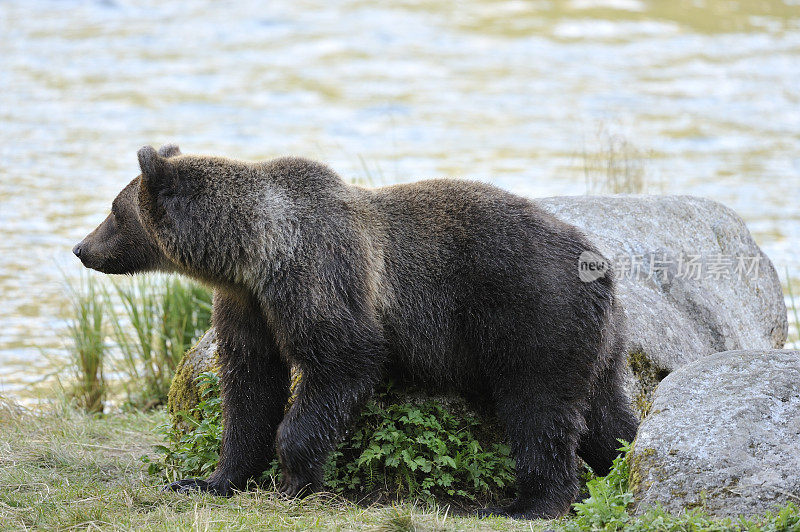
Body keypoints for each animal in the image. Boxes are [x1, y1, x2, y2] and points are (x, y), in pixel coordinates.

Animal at [73, 145, 636, 520]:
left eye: (114, 211)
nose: (81, 248)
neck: (254, 252)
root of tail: (600, 262)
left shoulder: (318, 274)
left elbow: (341, 361)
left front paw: (295, 478)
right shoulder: (248, 305)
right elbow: (250, 386)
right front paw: (207, 480)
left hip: (533, 316)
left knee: (538, 410)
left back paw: (528, 503)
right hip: (600, 340)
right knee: (606, 414)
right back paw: (620, 465)